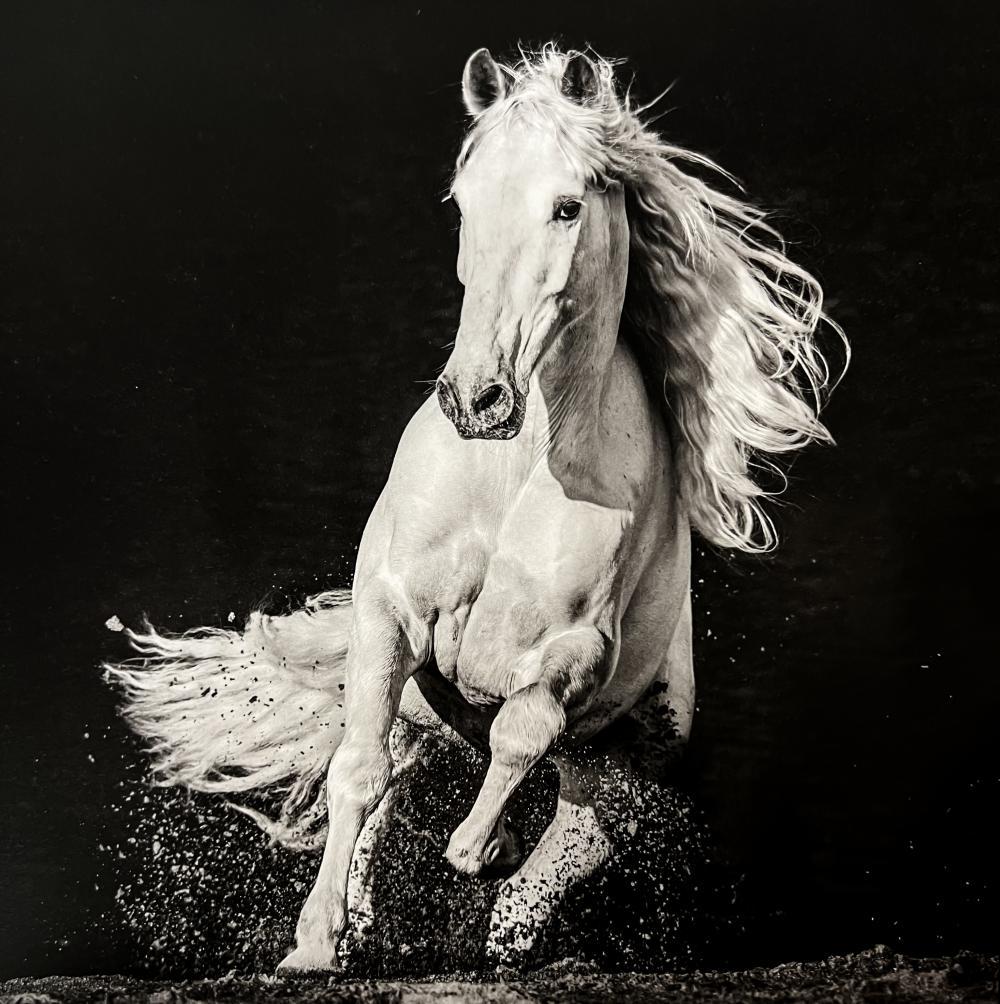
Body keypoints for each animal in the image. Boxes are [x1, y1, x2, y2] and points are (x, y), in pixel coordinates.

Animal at [105, 45, 844, 972]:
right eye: (464, 204)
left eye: (567, 206)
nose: (477, 399)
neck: (516, 470)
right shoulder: (390, 613)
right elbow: (358, 773)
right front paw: (313, 946)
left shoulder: (570, 656)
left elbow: (514, 746)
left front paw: (483, 853)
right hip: (424, 706)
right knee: (395, 778)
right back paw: (367, 918)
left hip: (630, 749)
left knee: (568, 843)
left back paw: (508, 898)